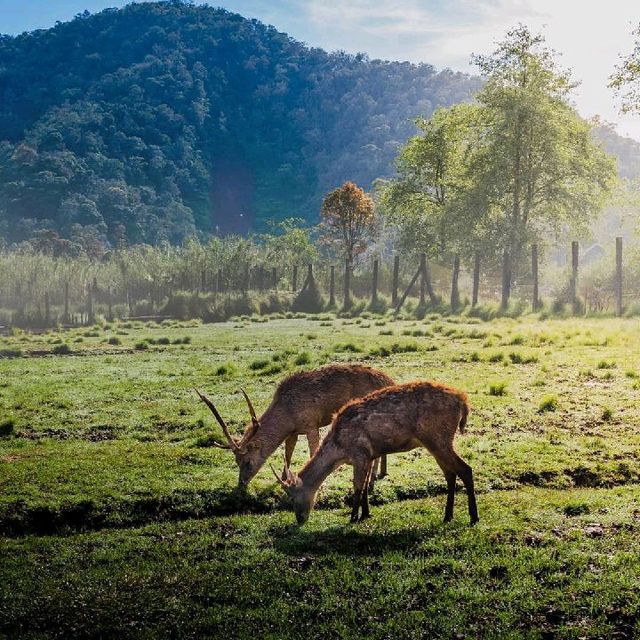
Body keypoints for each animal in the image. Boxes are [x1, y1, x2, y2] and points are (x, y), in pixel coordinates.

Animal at [195, 364, 396, 484]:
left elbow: (313, 451)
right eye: (236, 461)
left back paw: (372, 477)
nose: (242, 483)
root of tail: (390, 380)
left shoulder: (311, 424)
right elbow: (288, 453)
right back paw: (382, 473)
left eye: (247, 461)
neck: (288, 415)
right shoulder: (292, 433)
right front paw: (283, 478)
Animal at [272, 380, 478, 524]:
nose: (300, 519)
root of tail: (464, 402)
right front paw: (365, 513)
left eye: (293, 497)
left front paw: (353, 517)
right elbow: (365, 485)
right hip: (437, 442)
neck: (339, 450)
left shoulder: (359, 453)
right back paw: (448, 515)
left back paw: (473, 517)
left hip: (438, 438)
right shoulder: (370, 455)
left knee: (465, 469)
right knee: (450, 474)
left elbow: (357, 485)